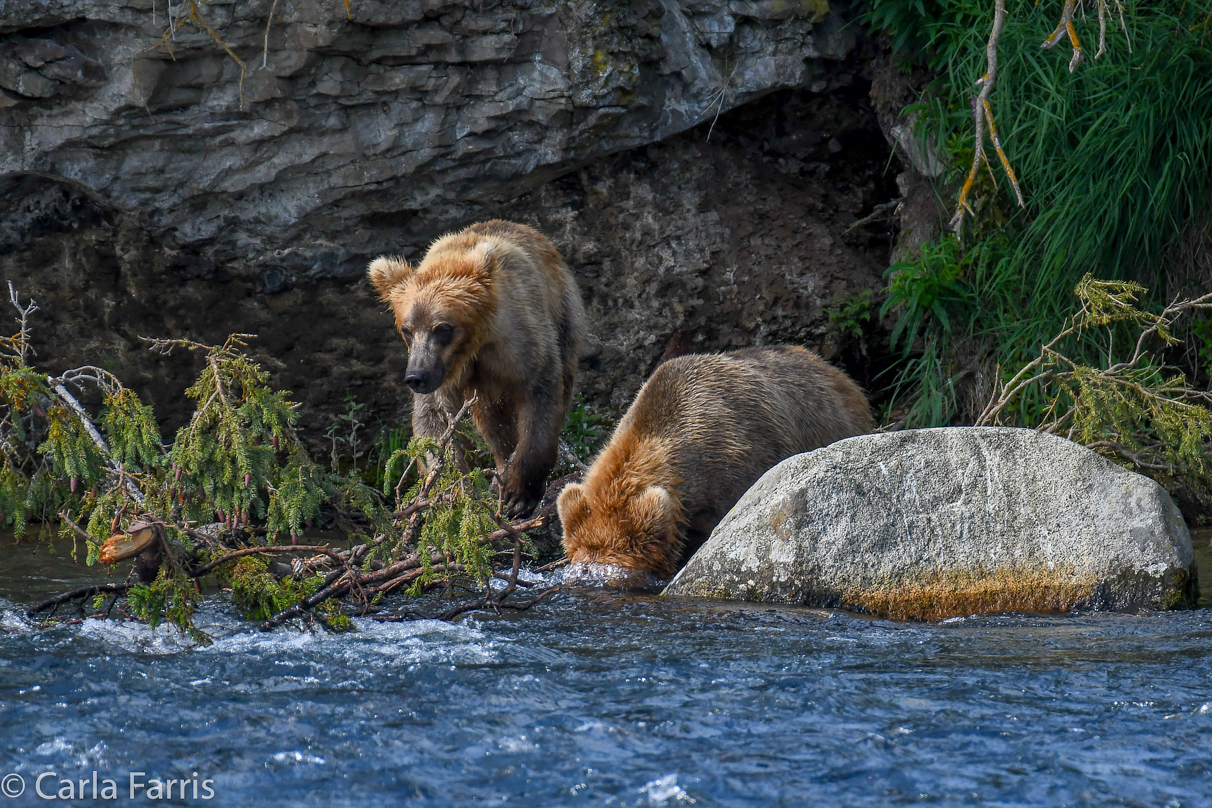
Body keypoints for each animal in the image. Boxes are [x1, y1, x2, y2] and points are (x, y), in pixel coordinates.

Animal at [368, 219, 586, 518]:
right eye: (407, 330)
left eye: (442, 328)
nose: (416, 377)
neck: (473, 347)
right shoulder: (442, 375)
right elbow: (434, 421)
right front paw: (453, 491)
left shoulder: (521, 344)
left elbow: (541, 396)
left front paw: (519, 495)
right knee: (491, 420)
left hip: (564, 314)